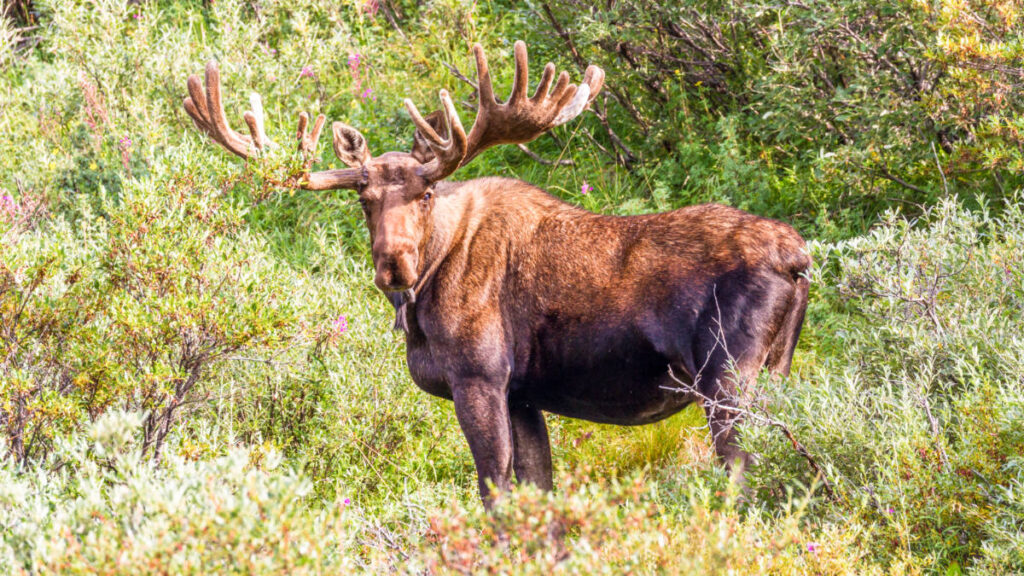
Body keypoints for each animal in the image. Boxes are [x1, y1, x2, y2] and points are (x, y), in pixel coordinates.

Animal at [183, 41, 811, 506]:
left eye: (426, 192)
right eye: (363, 197)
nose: (393, 265)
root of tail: (800, 260)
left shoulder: (479, 377)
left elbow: (495, 493)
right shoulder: (523, 394)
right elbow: (537, 490)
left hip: (726, 376)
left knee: (744, 470)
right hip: (776, 369)